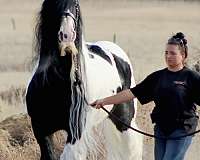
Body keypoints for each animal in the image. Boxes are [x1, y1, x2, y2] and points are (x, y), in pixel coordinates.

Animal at [25, 0, 143, 159]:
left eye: (75, 4)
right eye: (52, 4)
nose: (67, 35)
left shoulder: (75, 132)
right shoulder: (41, 130)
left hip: (124, 122)